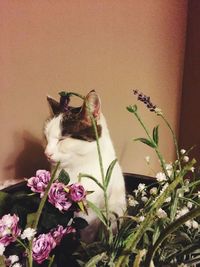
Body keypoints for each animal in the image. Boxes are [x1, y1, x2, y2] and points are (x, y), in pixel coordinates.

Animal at [44, 90, 126, 243]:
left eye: (63, 139)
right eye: (46, 137)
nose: (46, 153)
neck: (76, 169)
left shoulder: (91, 215)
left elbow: (86, 237)